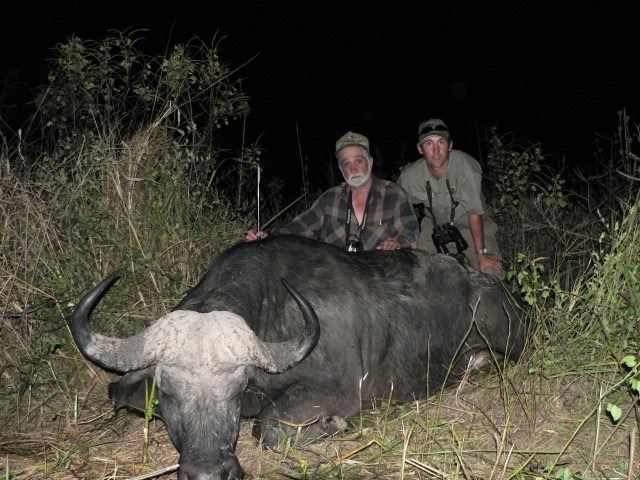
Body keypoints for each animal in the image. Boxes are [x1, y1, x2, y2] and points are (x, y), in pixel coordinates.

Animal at [70, 235, 526, 479]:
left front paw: (332, 425)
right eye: (168, 395)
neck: (273, 309)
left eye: (234, 391)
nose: (210, 473)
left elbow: (268, 428)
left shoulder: (339, 392)